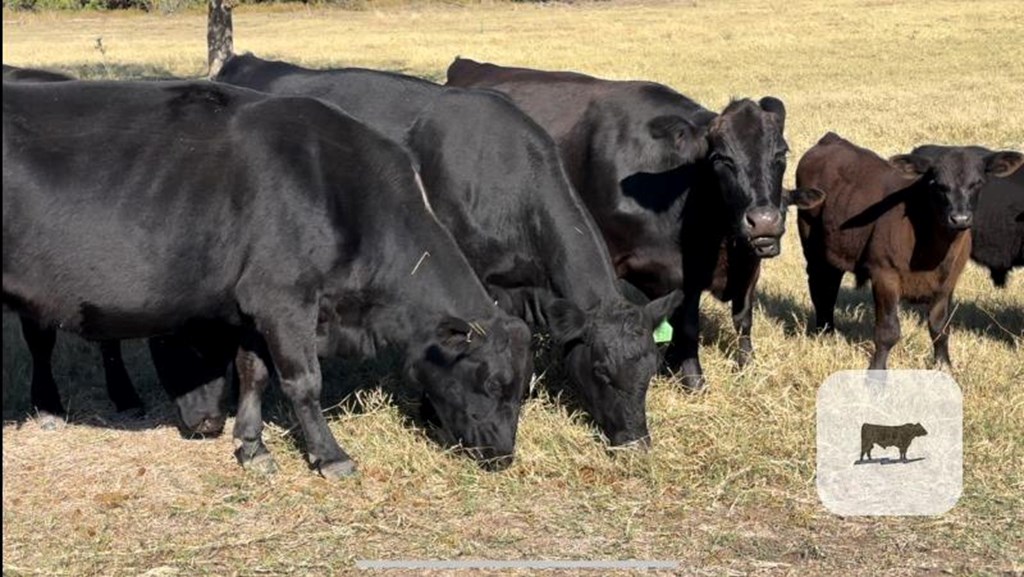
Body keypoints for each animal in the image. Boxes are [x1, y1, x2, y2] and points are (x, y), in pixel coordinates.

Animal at [6, 78, 536, 475]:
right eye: (494, 383)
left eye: (523, 389)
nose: (502, 455)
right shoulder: (285, 297)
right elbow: (303, 380)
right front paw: (330, 456)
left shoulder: (250, 306)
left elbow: (253, 373)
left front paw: (252, 447)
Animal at [448, 58, 823, 391]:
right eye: (721, 159)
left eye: (781, 154)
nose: (764, 221)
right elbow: (685, 325)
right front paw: (693, 380)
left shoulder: (736, 266)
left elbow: (741, 318)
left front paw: (745, 368)